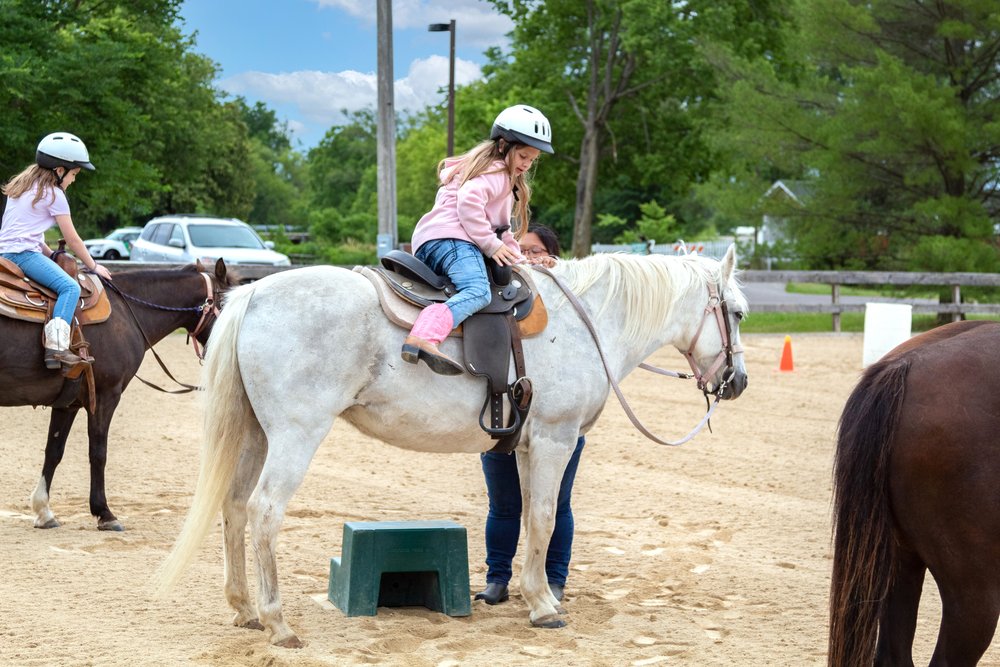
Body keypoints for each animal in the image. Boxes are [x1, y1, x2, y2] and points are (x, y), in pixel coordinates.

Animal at [0, 260, 230, 532]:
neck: (126, 311)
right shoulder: (106, 396)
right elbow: (98, 452)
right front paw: (105, 513)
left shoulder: (68, 403)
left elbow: (54, 451)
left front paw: (44, 511)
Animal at [156, 244, 748, 648]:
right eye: (738, 312)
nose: (737, 382)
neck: (590, 322)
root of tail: (255, 295)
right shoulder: (555, 439)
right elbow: (544, 517)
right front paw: (544, 606)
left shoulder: (527, 447)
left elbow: (527, 517)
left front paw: (529, 593)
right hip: (295, 436)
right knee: (264, 511)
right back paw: (278, 622)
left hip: (257, 433)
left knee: (234, 507)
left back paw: (245, 609)